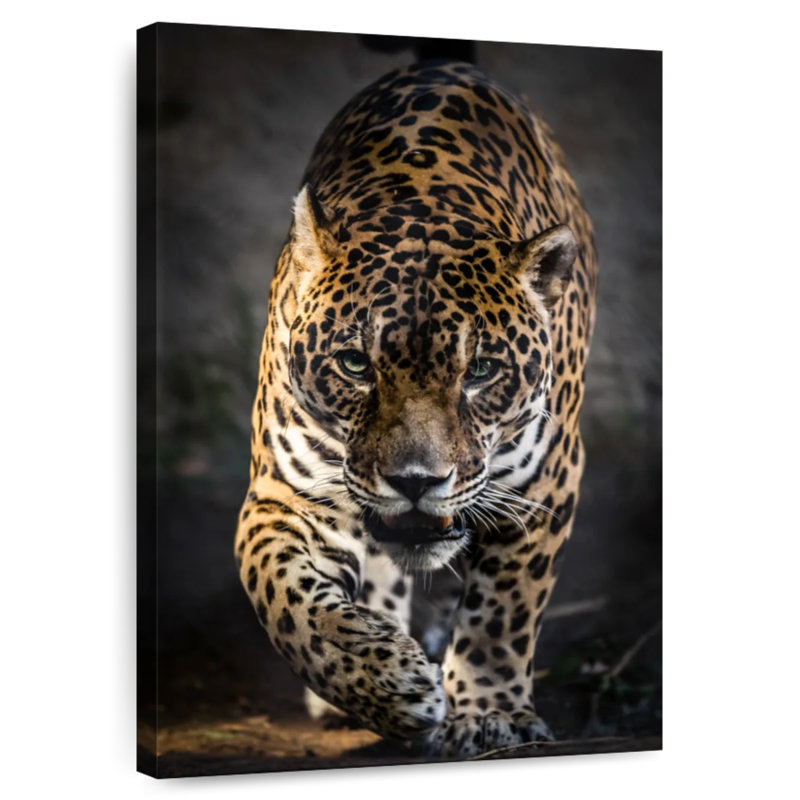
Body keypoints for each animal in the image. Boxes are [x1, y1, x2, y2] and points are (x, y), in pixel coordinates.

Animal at [235, 59, 597, 758]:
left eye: (480, 372)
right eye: (355, 364)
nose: (415, 482)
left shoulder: (544, 484)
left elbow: (504, 611)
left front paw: (489, 712)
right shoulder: (286, 494)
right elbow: (286, 598)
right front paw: (382, 681)